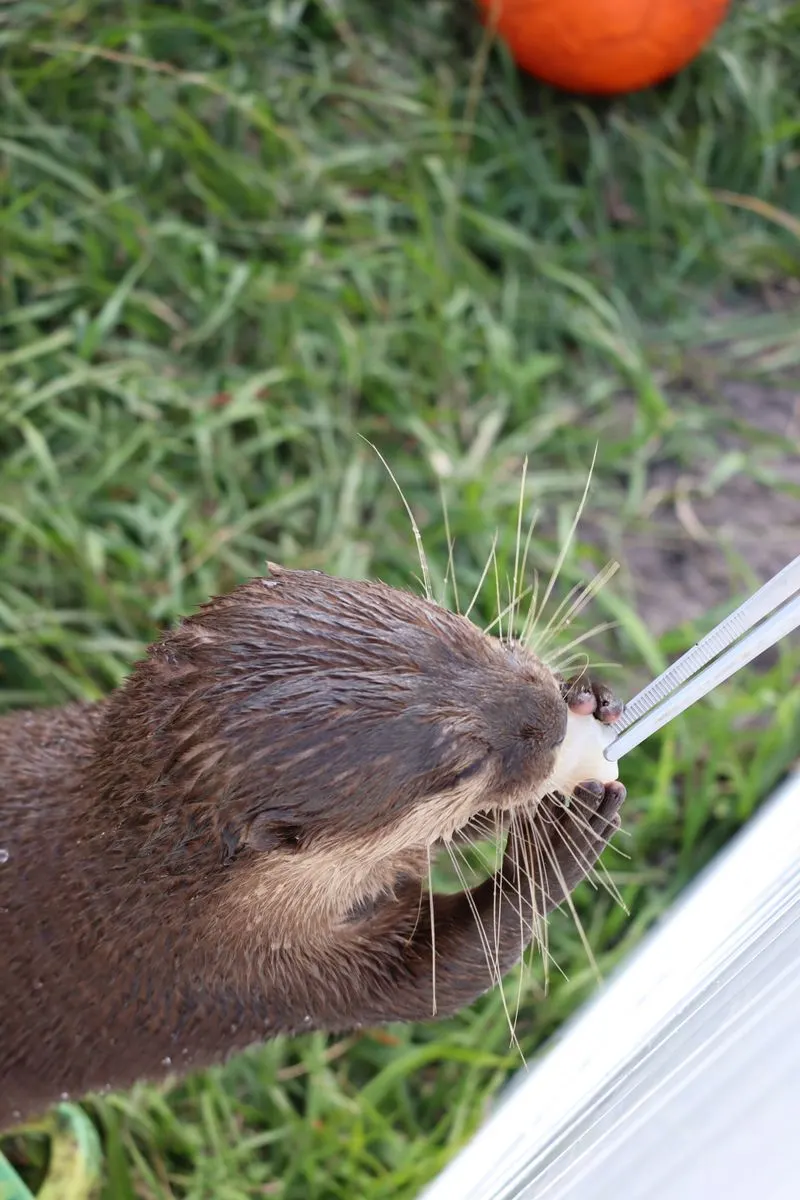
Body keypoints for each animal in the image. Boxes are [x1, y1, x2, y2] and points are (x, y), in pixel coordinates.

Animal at [0, 564, 626, 1129]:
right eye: (465, 766)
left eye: (469, 633)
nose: (552, 713)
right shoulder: (236, 985)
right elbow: (432, 983)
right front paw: (565, 837)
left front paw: (591, 696)